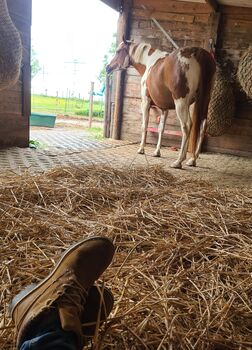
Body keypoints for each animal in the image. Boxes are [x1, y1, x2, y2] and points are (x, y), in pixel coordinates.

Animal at [105, 39, 216, 169]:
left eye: (118, 51)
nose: (107, 67)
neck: (149, 63)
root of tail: (197, 52)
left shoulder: (145, 102)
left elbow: (144, 126)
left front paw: (141, 149)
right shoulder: (164, 108)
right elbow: (161, 129)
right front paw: (157, 152)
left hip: (181, 103)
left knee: (187, 126)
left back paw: (179, 161)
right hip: (204, 101)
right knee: (203, 125)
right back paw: (193, 159)